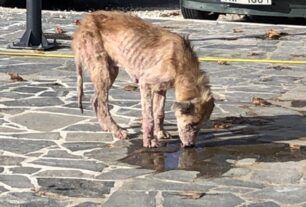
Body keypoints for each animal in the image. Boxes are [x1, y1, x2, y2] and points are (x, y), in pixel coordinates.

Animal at [72, 10, 214, 147]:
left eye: (200, 126)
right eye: (190, 125)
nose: (190, 145)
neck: (181, 64)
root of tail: (83, 23)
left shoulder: (161, 88)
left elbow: (159, 112)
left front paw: (160, 132)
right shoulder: (145, 83)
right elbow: (149, 116)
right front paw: (149, 141)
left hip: (110, 71)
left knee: (94, 100)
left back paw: (107, 127)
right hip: (103, 71)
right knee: (102, 104)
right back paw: (117, 130)